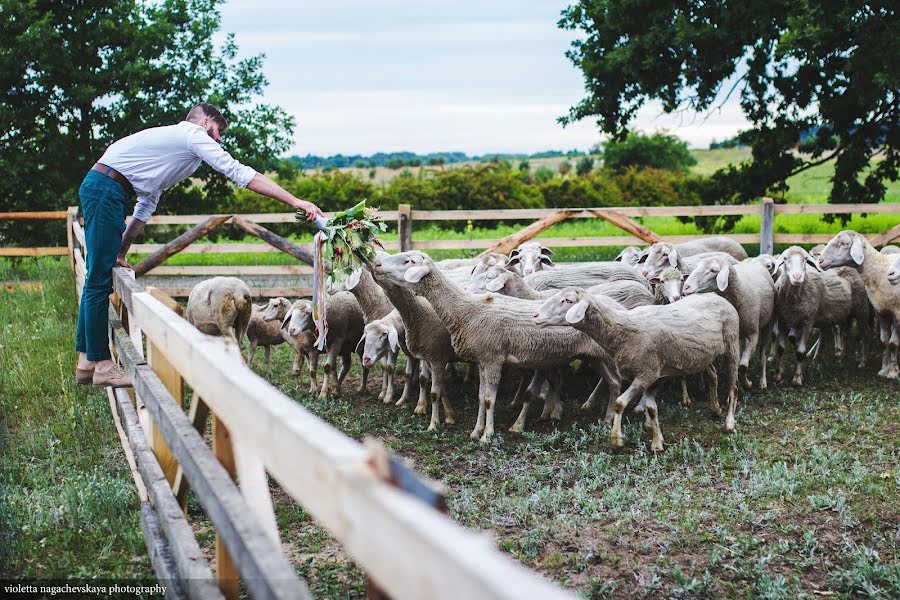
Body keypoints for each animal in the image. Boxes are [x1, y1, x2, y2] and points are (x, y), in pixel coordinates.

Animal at [372, 251, 620, 442]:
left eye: (409, 261)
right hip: (595, 357)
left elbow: (490, 399)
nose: (377, 264)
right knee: (614, 383)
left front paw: (487, 435)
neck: (466, 309)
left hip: (607, 356)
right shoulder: (482, 360)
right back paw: (607, 420)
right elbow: (482, 397)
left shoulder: (492, 359)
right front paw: (476, 431)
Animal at [536, 288, 740, 450]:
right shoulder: (652, 375)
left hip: (732, 344)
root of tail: (717, 296)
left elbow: (619, 404)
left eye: (568, 300)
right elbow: (651, 408)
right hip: (703, 355)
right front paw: (657, 442)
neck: (621, 330)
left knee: (733, 387)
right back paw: (715, 408)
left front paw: (616, 440)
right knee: (713, 375)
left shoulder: (646, 374)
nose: (535, 316)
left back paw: (729, 422)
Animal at [684, 253, 772, 390]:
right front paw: (737, 382)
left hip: (768, 323)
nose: (686, 287)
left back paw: (763, 382)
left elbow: (743, 366)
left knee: (763, 352)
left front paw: (747, 384)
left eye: (713, 270)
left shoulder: (753, 334)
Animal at [772, 245, 872, 382]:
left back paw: (862, 361)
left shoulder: (807, 322)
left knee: (864, 334)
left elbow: (800, 352)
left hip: (861, 309)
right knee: (833, 335)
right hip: (837, 315)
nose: (797, 277)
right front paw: (779, 374)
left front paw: (797, 377)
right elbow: (781, 349)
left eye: (805, 259)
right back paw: (830, 358)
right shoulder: (783, 320)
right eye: (785, 259)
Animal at [816, 231, 900, 378]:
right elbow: (884, 342)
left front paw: (893, 373)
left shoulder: (897, 315)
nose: (820, 261)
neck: (879, 272)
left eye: (843, 243)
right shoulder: (881, 313)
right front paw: (884, 370)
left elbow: (893, 344)